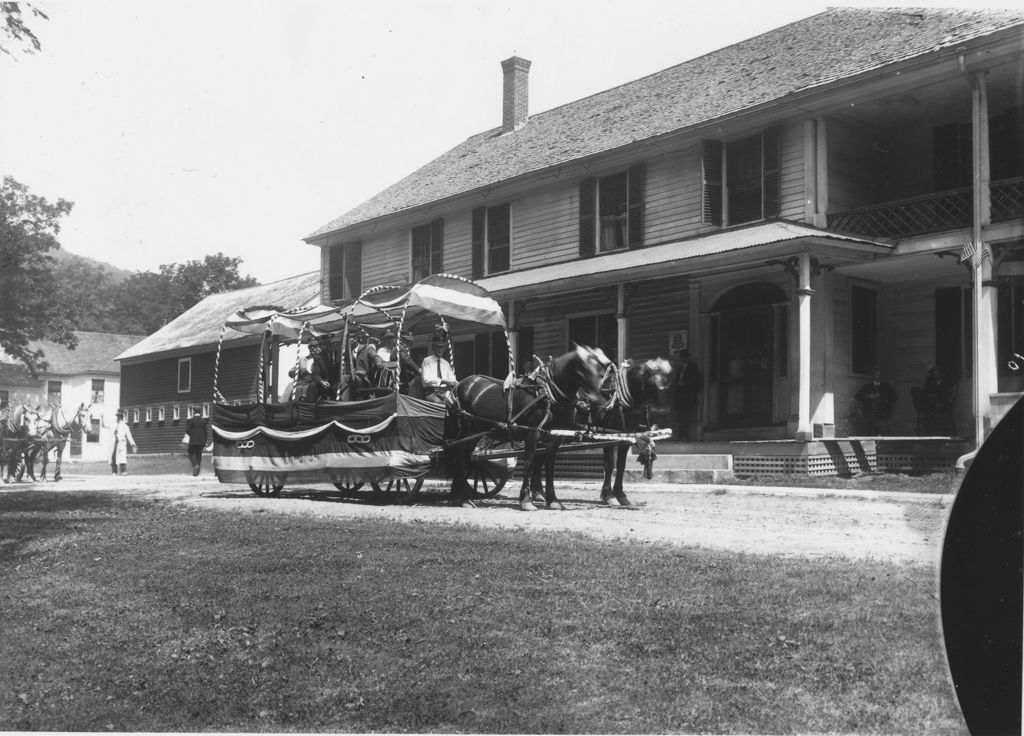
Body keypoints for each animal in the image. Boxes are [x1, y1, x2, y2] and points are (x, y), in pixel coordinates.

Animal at [448, 345, 606, 511]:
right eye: (584, 368)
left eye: (601, 368)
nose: (598, 400)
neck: (548, 393)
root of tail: (459, 385)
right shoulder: (532, 433)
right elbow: (529, 463)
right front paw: (526, 500)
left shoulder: (554, 439)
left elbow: (549, 467)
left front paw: (553, 500)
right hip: (465, 431)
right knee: (459, 457)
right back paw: (462, 498)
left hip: (475, 431)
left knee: (464, 458)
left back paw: (459, 496)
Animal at [585, 356, 671, 507]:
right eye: (654, 385)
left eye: (666, 385)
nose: (665, 412)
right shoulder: (608, 436)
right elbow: (609, 465)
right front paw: (608, 495)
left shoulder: (625, 437)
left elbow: (621, 466)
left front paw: (620, 494)